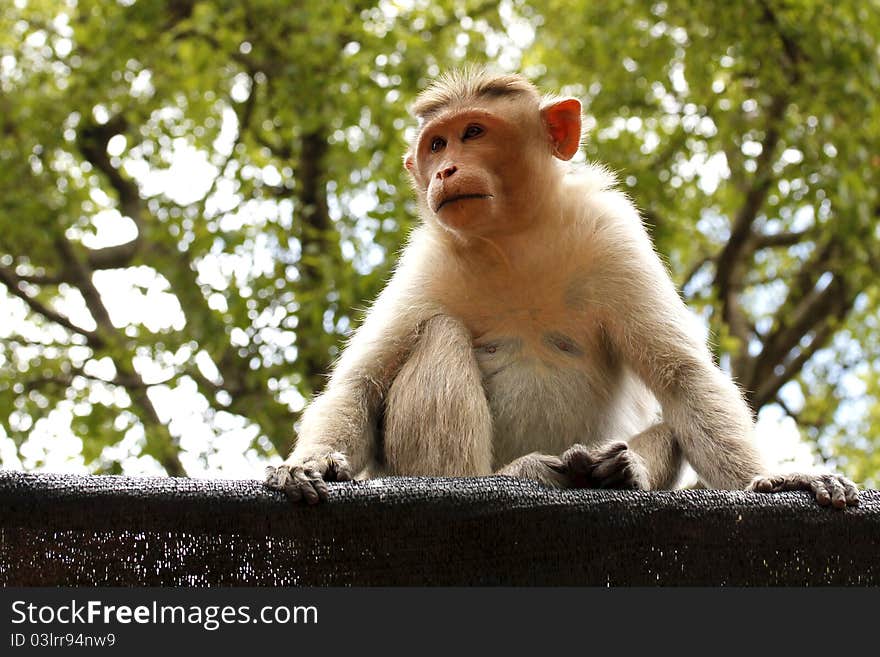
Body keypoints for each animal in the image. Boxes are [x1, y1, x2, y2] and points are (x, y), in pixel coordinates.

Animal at [266, 69, 860, 508]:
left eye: (473, 133)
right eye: (435, 143)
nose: (445, 170)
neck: (515, 241)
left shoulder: (613, 234)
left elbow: (683, 376)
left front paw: (775, 480)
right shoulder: (427, 263)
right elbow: (361, 384)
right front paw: (312, 461)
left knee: (669, 424)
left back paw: (613, 471)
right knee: (438, 334)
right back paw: (515, 475)